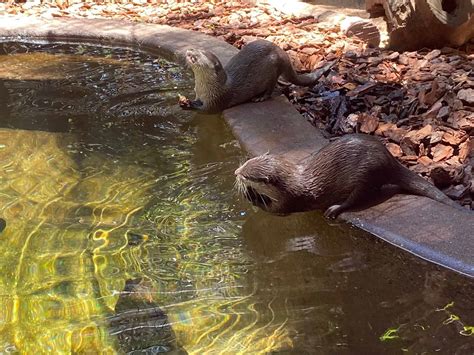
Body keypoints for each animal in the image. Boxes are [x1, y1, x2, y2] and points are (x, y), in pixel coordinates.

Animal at [181, 39, 326, 113]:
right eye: (196, 48)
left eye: (197, 55)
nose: (189, 50)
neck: (206, 88)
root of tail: (284, 54)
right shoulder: (199, 94)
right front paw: (186, 101)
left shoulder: (216, 100)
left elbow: (206, 110)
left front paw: (189, 104)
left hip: (272, 70)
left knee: (271, 88)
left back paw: (260, 97)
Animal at [235, 134, 464, 217]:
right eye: (245, 164)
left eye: (247, 175)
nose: (236, 172)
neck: (293, 181)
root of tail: (389, 158)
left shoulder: (289, 200)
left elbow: (273, 211)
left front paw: (249, 195)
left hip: (366, 174)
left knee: (358, 197)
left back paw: (335, 208)